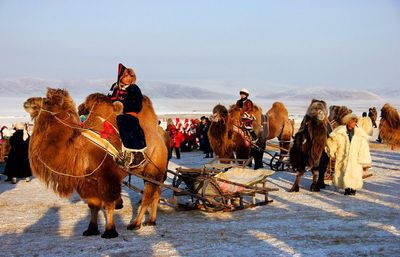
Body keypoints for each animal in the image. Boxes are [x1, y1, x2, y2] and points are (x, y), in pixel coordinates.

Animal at [81, 92, 169, 230]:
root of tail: (163, 141)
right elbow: (93, 203)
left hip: (154, 171)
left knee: (147, 197)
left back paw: (136, 223)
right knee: (156, 193)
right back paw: (151, 221)